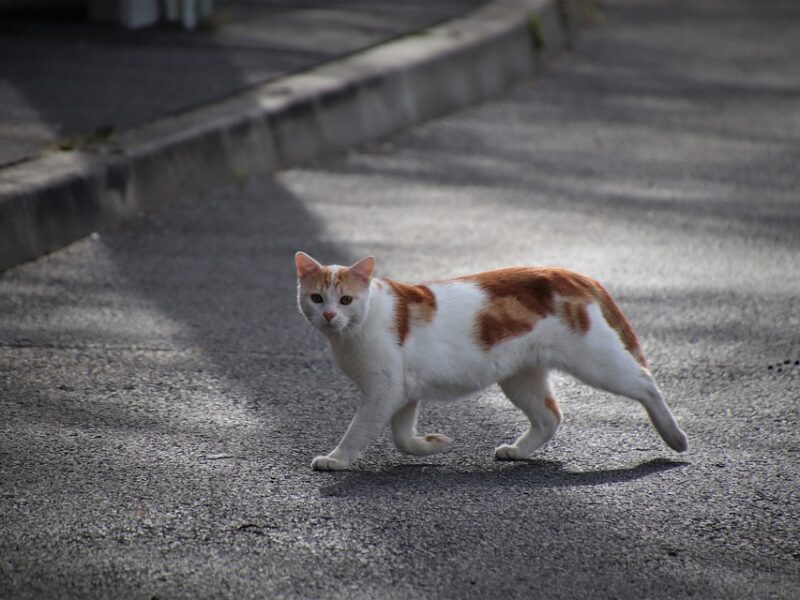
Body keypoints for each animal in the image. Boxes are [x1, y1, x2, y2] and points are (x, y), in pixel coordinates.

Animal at [294, 251, 688, 472]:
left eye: (345, 300)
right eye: (316, 298)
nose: (329, 315)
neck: (355, 328)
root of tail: (569, 272)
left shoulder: (383, 391)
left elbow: (358, 430)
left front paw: (336, 459)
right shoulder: (402, 392)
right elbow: (403, 438)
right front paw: (434, 444)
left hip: (596, 361)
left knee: (646, 382)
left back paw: (674, 437)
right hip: (520, 377)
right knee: (550, 417)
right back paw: (517, 450)